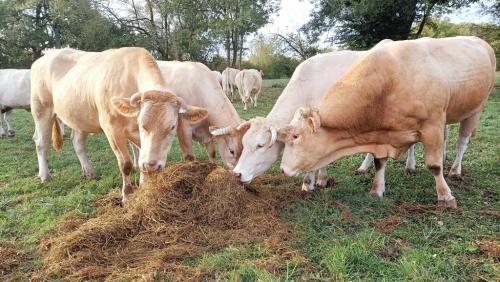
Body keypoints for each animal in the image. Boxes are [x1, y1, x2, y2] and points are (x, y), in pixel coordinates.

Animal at [31, 47, 208, 204]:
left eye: (172, 127)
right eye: (141, 124)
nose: (152, 166)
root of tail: (47, 55)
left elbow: (141, 157)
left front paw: (144, 186)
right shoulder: (112, 129)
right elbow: (126, 164)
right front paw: (127, 196)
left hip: (80, 116)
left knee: (77, 142)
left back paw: (89, 172)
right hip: (41, 110)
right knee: (41, 143)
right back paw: (45, 175)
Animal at [280, 36, 494, 208]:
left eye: (296, 136)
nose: (282, 169)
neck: (388, 82)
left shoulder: (432, 124)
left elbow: (433, 166)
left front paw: (445, 196)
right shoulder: (383, 132)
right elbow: (379, 162)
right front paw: (376, 190)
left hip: (476, 108)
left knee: (462, 142)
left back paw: (455, 170)